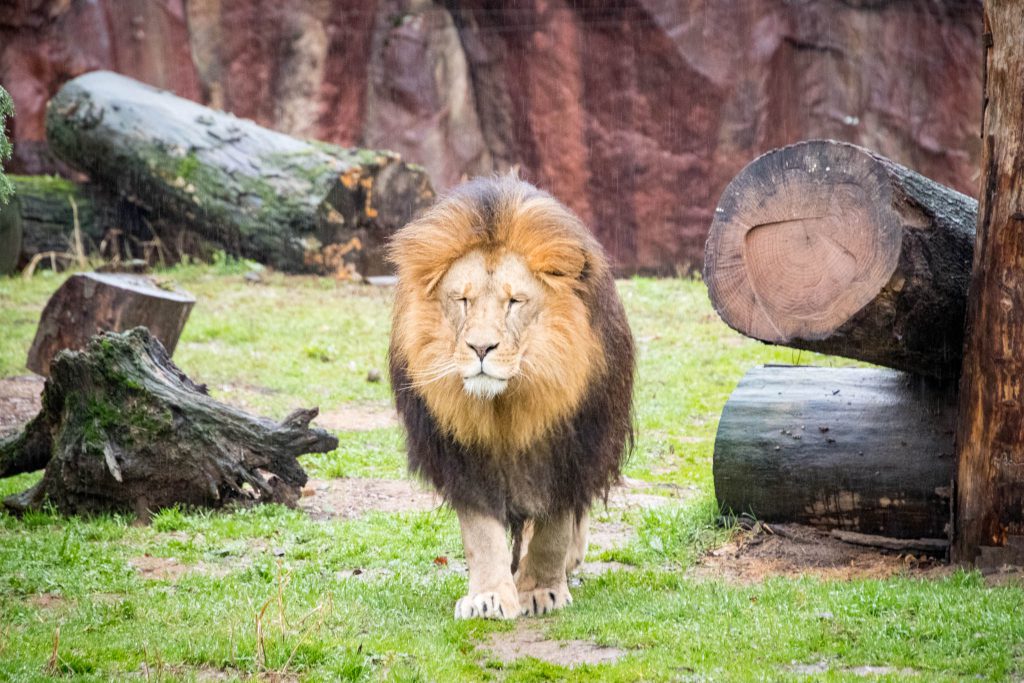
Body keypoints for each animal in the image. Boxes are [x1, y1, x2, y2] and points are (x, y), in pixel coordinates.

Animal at [389, 175, 630, 618]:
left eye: (515, 301)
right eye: (462, 299)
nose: (481, 348)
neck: (506, 407)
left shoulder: (569, 452)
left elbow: (553, 530)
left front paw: (541, 591)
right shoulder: (462, 458)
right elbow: (482, 536)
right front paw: (488, 597)